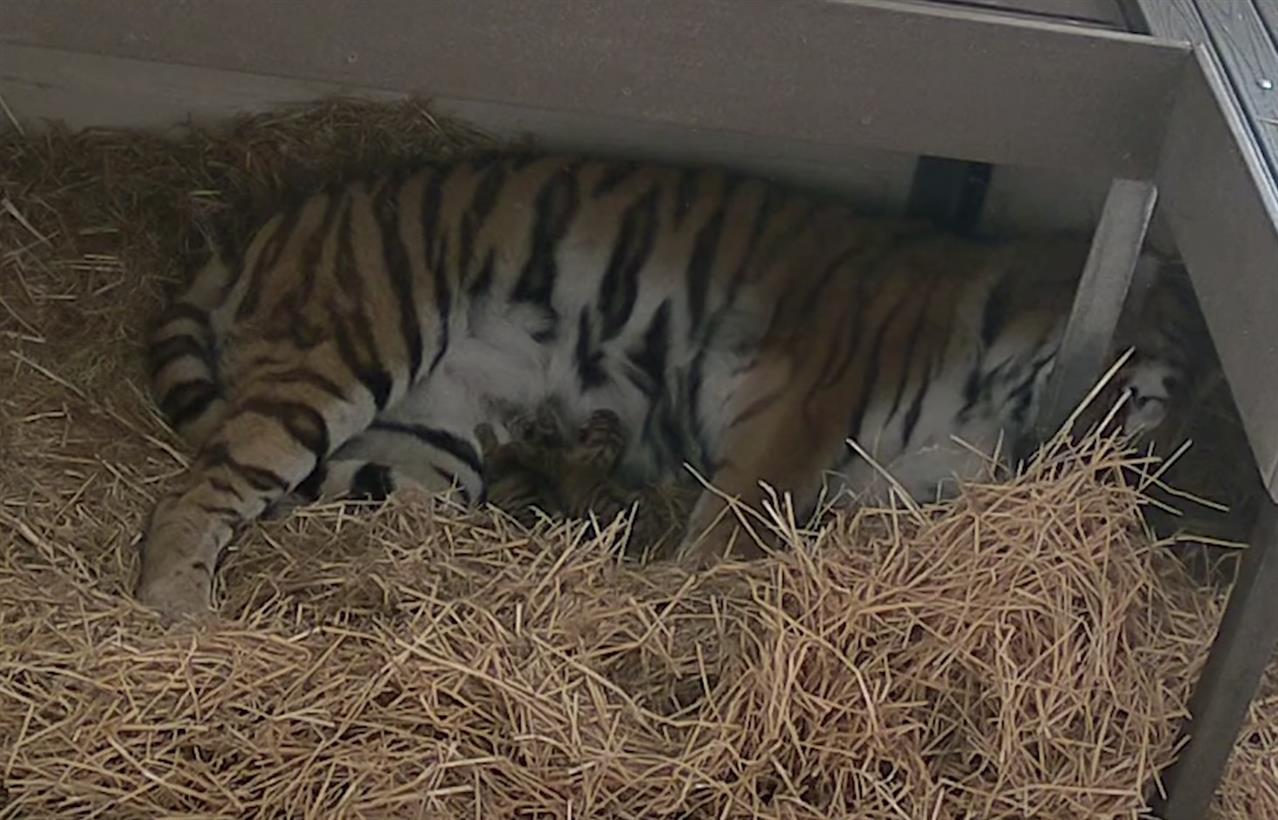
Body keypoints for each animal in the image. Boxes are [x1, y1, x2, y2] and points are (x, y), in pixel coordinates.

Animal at [137, 152, 1210, 619]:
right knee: (199, 486)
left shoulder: (893, 484)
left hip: (430, 455)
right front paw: (676, 611)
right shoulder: (799, 411)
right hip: (356, 343)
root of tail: (279, 219)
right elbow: (727, 535)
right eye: (1144, 402)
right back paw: (178, 606)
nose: (1118, 488)